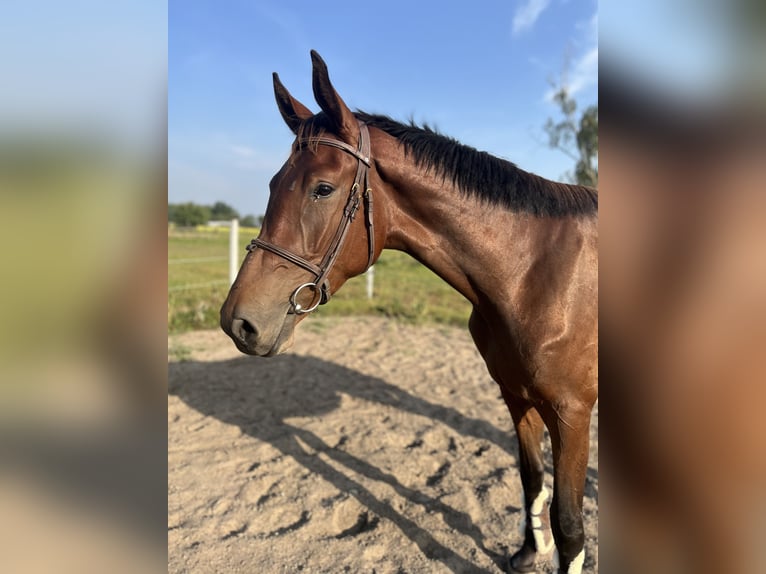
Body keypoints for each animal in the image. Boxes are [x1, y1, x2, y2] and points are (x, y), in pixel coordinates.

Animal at [222, 51, 600, 572]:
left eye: (322, 188)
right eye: (274, 182)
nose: (239, 321)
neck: (535, 270)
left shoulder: (571, 413)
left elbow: (569, 524)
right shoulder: (517, 397)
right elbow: (530, 480)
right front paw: (528, 552)